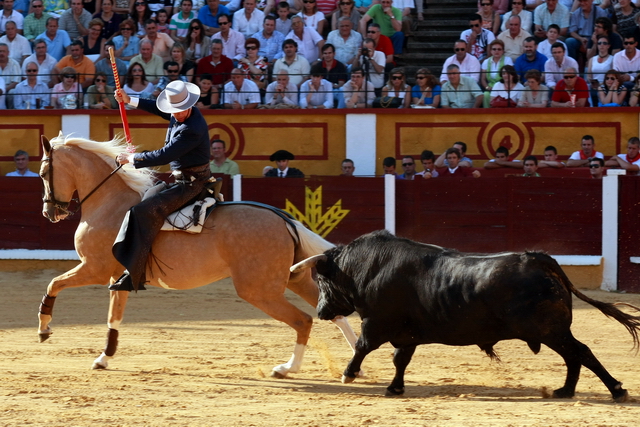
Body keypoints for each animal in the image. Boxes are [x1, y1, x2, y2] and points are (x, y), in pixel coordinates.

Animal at [38, 134, 360, 378]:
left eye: (42, 173)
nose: (49, 212)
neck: (111, 202)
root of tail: (285, 220)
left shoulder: (94, 268)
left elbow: (54, 283)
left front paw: (44, 329)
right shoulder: (119, 276)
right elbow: (113, 316)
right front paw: (104, 358)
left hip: (258, 290)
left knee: (303, 320)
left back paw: (286, 368)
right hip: (294, 278)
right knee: (334, 313)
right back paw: (354, 365)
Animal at [294, 231, 640, 402]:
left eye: (322, 280)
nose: (321, 311)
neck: (368, 267)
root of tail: (540, 259)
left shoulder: (377, 324)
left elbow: (363, 347)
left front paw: (348, 374)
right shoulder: (406, 334)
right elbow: (400, 360)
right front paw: (395, 388)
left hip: (550, 330)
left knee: (581, 352)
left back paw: (616, 390)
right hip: (552, 332)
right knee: (574, 356)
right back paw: (566, 391)